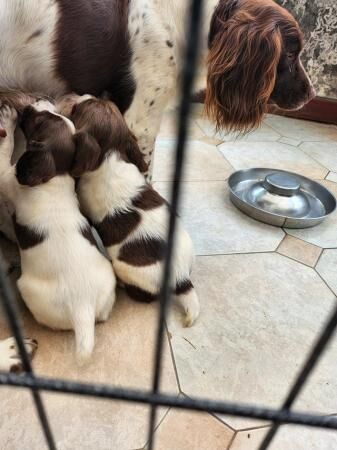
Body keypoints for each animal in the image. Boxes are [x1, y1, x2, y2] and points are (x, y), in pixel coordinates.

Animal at [65, 96, 200, 326]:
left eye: (79, 109)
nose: (85, 96)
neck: (108, 156)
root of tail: (180, 278)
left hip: (129, 272)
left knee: (144, 296)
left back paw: (122, 284)